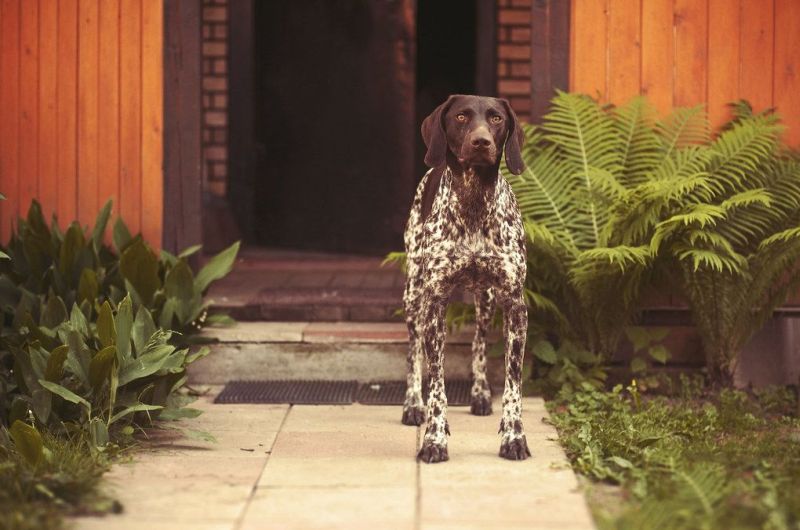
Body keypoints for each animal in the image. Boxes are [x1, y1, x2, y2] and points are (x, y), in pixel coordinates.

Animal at [400, 95, 532, 462]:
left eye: (497, 118)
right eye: (461, 116)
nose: (481, 142)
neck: (473, 202)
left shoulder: (515, 305)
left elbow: (513, 385)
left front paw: (513, 437)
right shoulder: (434, 304)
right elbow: (437, 385)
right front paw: (434, 439)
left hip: (485, 300)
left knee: (478, 342)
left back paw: (480, 393)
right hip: (414, 294)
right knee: (414, 353)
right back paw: (413, 404)